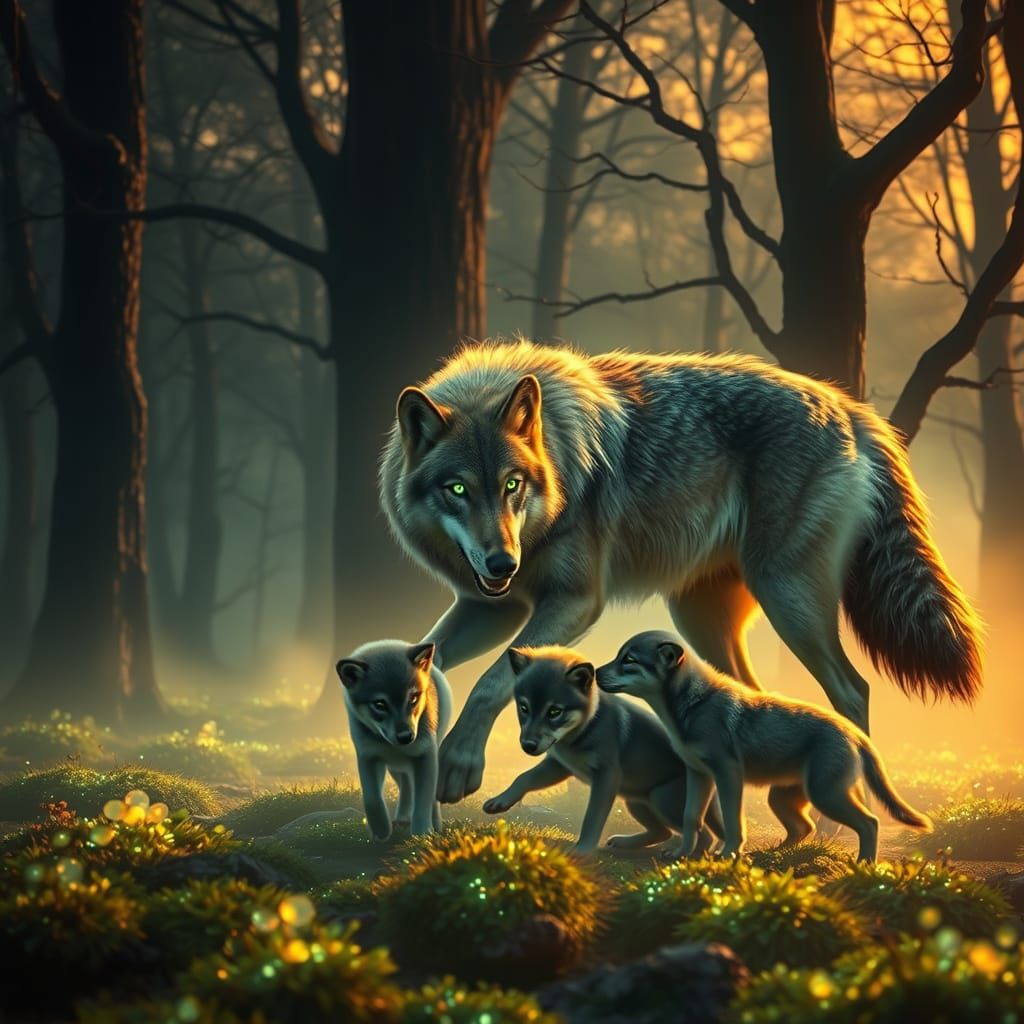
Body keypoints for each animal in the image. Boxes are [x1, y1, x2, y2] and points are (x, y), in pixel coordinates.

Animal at [337, 639, 452, 838]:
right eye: (380, 704)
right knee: (406, 786)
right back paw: (403, 818)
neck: (392, 746)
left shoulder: (425, 756)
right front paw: (381, 830)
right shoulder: (368, 757)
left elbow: (423, 800)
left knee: (429, 797)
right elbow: (372, 798)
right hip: (396, 769)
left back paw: (435, 824)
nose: (406, 737)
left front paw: (422, 833)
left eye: (413, 698)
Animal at [378, 340, 982, 804]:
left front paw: (459, 766)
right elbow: (428, 658)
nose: (503, 561)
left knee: (853, 691)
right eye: (458, 489)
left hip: (789, 601)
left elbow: (490, 682)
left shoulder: (574, 601)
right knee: (752, 696)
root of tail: (850, 406)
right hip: (701, 618)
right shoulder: (493, 606)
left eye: (511, 485)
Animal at [481, 645, 723, 854]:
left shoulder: (606, 776)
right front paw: (500, 801)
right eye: (524, 707)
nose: (528, 746)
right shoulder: (559, 765)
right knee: (663, 832)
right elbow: (524, 778)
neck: (586, 728)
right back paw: (624, 843)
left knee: (703, 835)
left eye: (554, 712)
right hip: (635, 801)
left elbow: (592, 817)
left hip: (660, 798)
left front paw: (582, 850)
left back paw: (684, 855)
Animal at [596, 630, 932, 861]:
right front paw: (681, 853)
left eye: (629, 660)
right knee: (804, 828)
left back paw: (864, 864)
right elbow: (692, 818)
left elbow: (733, 822)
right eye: (619, 655)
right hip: (782, 799)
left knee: (869, 823)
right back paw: (771, 854)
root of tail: (854, 733)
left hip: (825, 796)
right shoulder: (698, 774)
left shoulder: (728, 774)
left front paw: (727, 855)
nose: (594, 671)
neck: (693, 704)